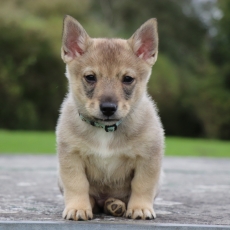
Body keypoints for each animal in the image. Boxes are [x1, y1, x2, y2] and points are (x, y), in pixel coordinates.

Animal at [56, 15, 164, 221]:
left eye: (128, 79)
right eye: (90, 77)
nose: (108, 108)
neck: (105, 130)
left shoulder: (148, 158)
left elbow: (142, 185)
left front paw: (140, 208)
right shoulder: (71, 157)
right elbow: (77, 184)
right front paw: (78, 208)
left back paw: (116, 205)